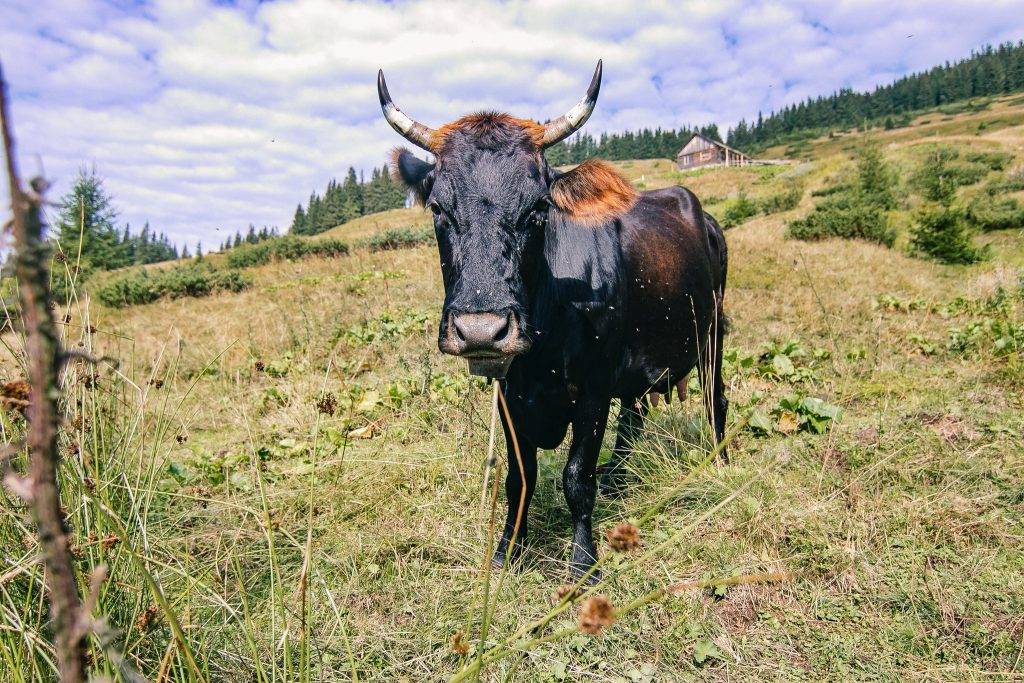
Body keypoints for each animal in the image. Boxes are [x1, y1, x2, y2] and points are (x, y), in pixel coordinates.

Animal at [378, 61, 729, 581]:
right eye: (439, 208)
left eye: (538, 207)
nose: (481, 331)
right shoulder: (509, 392)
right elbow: (518, 476)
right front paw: (508, 550)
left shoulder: (593, 389)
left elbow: (575, 478)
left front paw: (583, 562)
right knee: (635, 413)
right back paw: (617, 476)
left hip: (711, 333)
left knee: (714, 399)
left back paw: (721, 463)